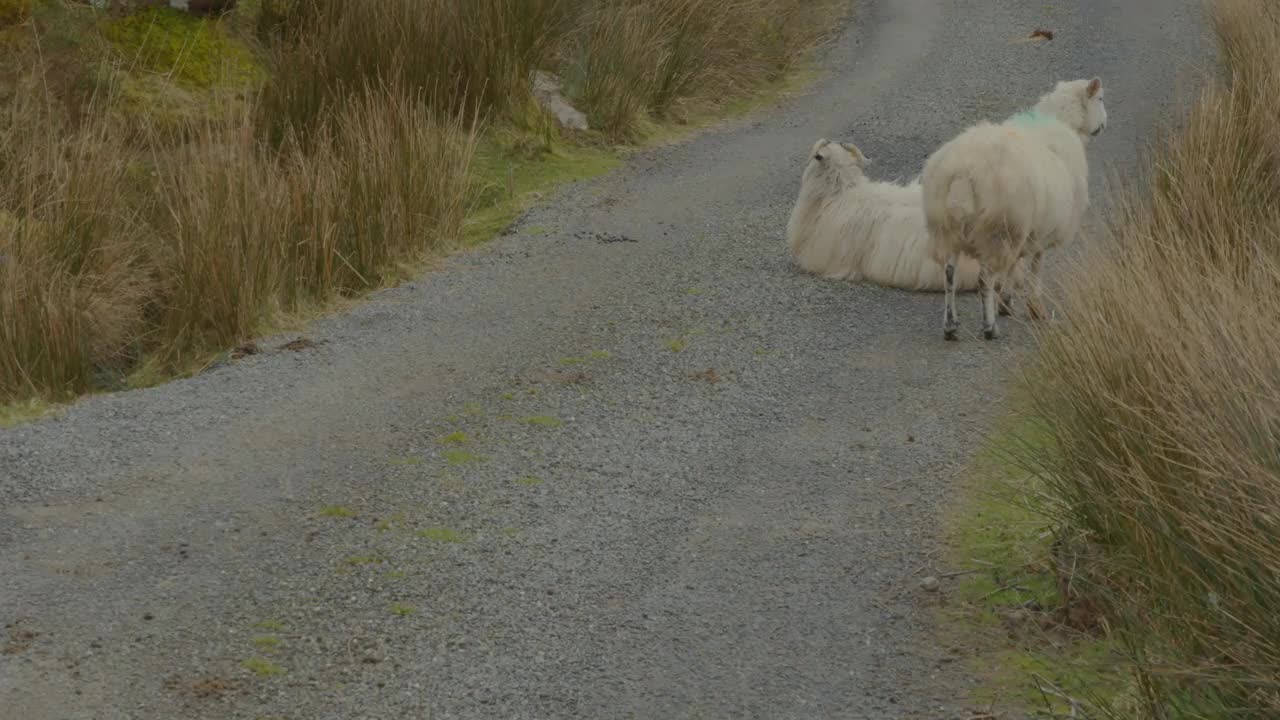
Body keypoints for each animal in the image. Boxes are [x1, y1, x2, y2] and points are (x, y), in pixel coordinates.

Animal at [921, 75, 1111, 338]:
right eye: (1100, 98)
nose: (1105, 123)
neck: (1064, 123)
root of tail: (963, 172)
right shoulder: (1039, 230)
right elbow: (1035, 267)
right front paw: (1034, 308)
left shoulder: (1024, 229)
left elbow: (1014, 265)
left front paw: (1007, 303)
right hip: (997, 228)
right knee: (985, 278)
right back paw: (989, 327)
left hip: (946, 227)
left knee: (950, 274)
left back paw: (950, 325)